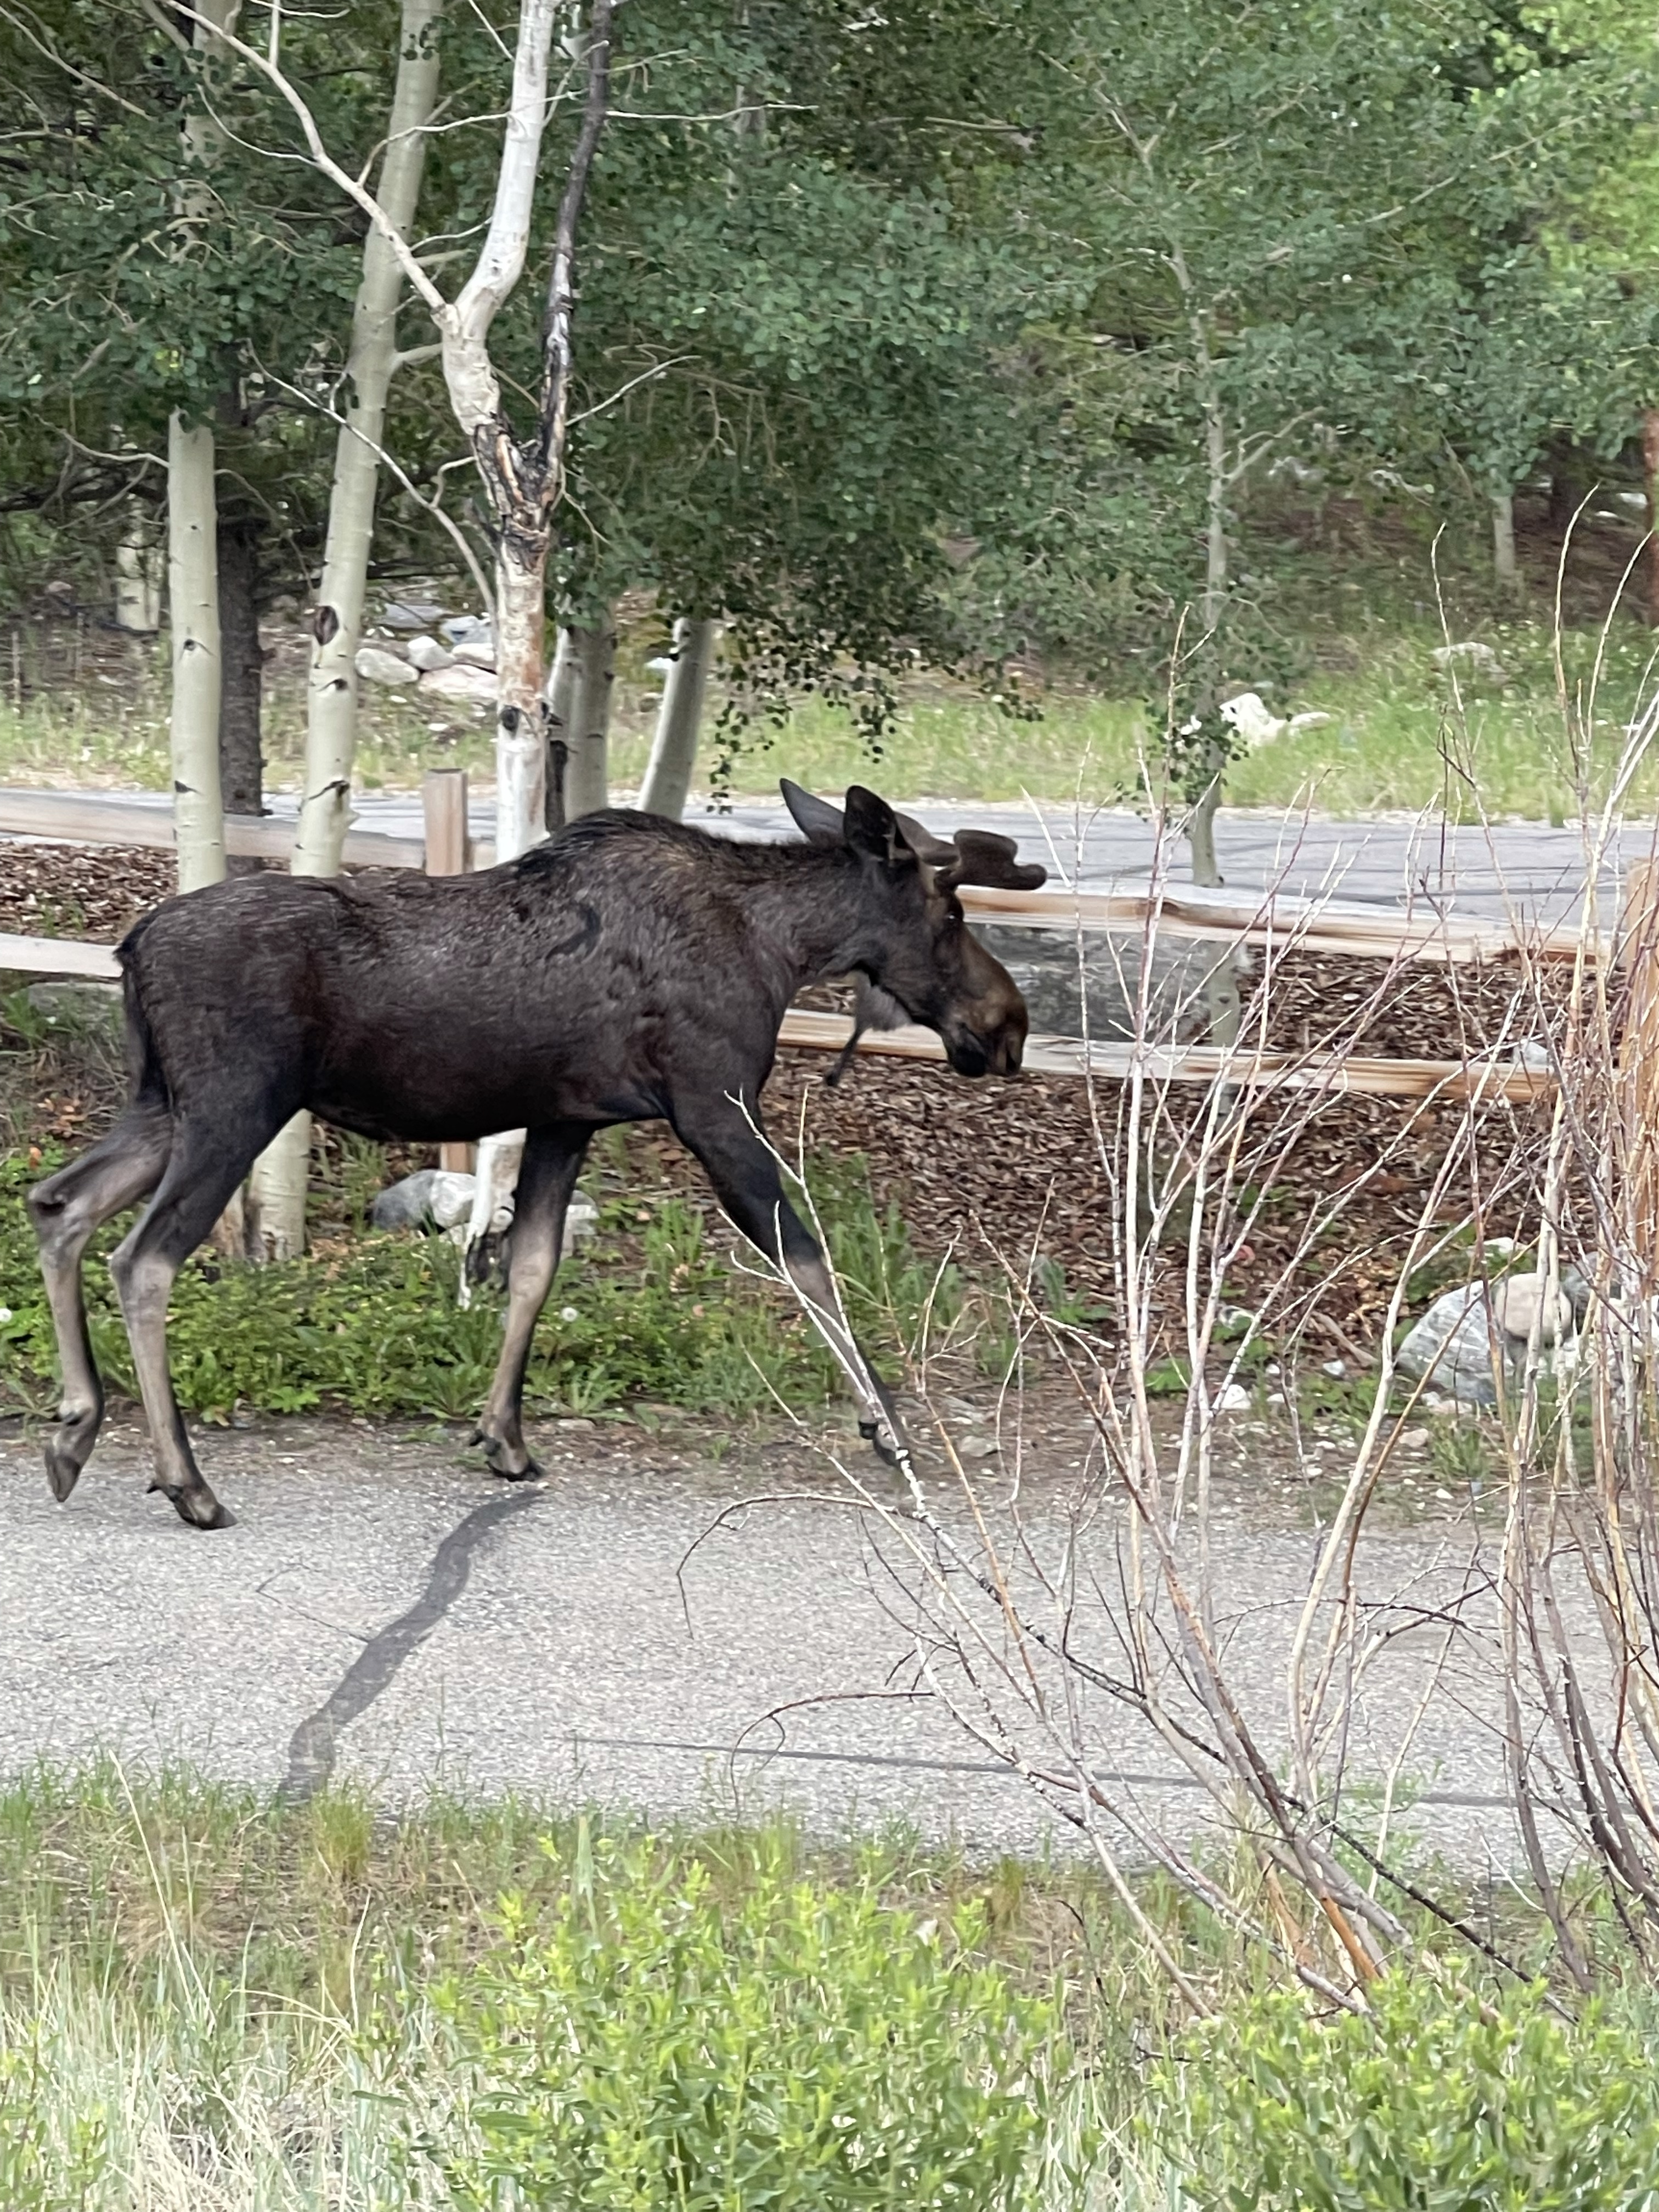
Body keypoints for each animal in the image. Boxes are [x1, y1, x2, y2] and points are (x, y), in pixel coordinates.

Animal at [26, 781, 1045, 1530]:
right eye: (951, 911)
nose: (1009, 1027)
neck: (786, 949)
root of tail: (129, 947)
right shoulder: (713, 1105)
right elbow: (806, 1258)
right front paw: (890, 1432)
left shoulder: (568, 1120)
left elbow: (531, 1266)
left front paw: (502, 1436)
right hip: (235, 1106)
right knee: (144, 1257)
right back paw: (186, 1481)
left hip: (165, 1104)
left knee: (60, 1204)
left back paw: (76, 1429)